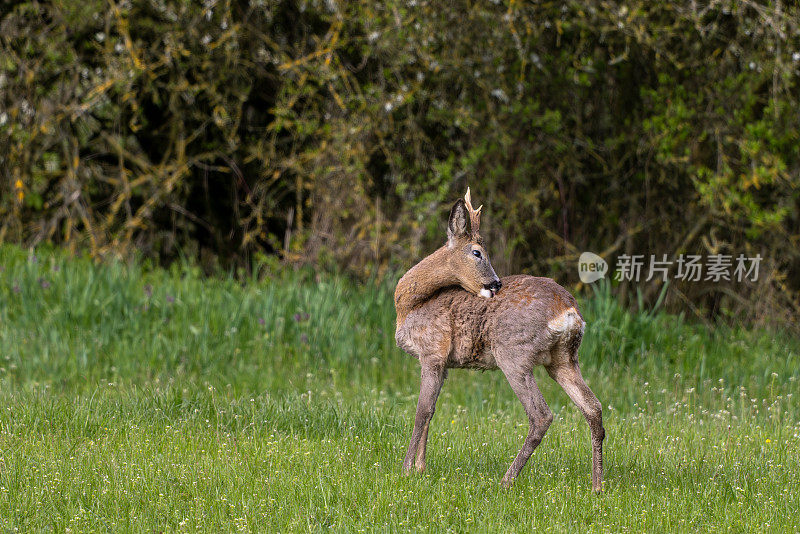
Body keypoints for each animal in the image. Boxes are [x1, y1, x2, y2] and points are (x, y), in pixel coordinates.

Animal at [394, 187, 608, 494]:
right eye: (477, 252)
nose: (495, 283)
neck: (409, 306)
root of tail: (568, 312)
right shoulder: (444, 363)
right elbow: (432, 409)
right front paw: (421, 467)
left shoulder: (432, 351)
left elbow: (421, 410)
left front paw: (407, 469)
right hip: (564, 359)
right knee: (593, 408)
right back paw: (597, 485)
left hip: (513, 354)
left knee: (542, 415)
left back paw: (507, 480)